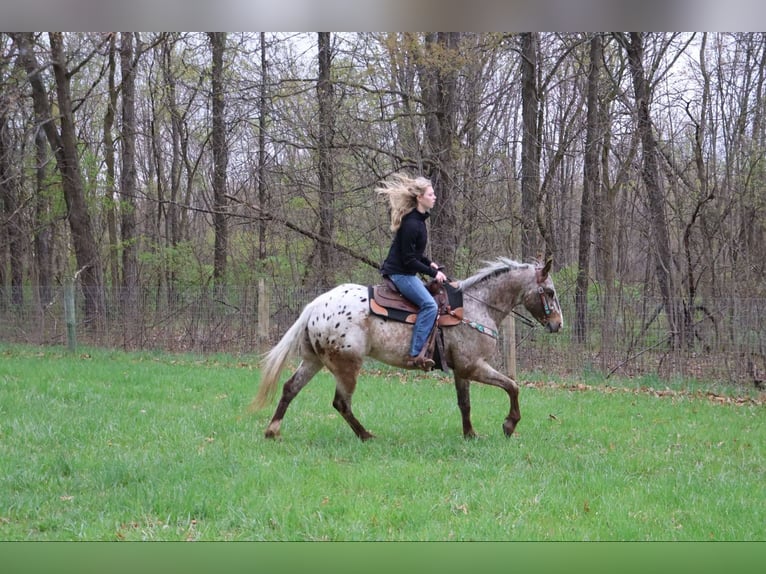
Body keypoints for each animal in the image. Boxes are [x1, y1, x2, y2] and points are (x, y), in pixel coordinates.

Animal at [249, 257, 563, 440]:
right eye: (549, 292)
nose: (558, 324)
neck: (477, 306)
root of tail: (314, 306)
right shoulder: (474, 366)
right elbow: (512, 386)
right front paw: (509, 424)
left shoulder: (461, 370)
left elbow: (465, 403)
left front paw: (470, 434)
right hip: (347, 365)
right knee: (341, 403)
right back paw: (366, 435)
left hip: (314, 360)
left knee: (290, 388)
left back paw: (272, 431)